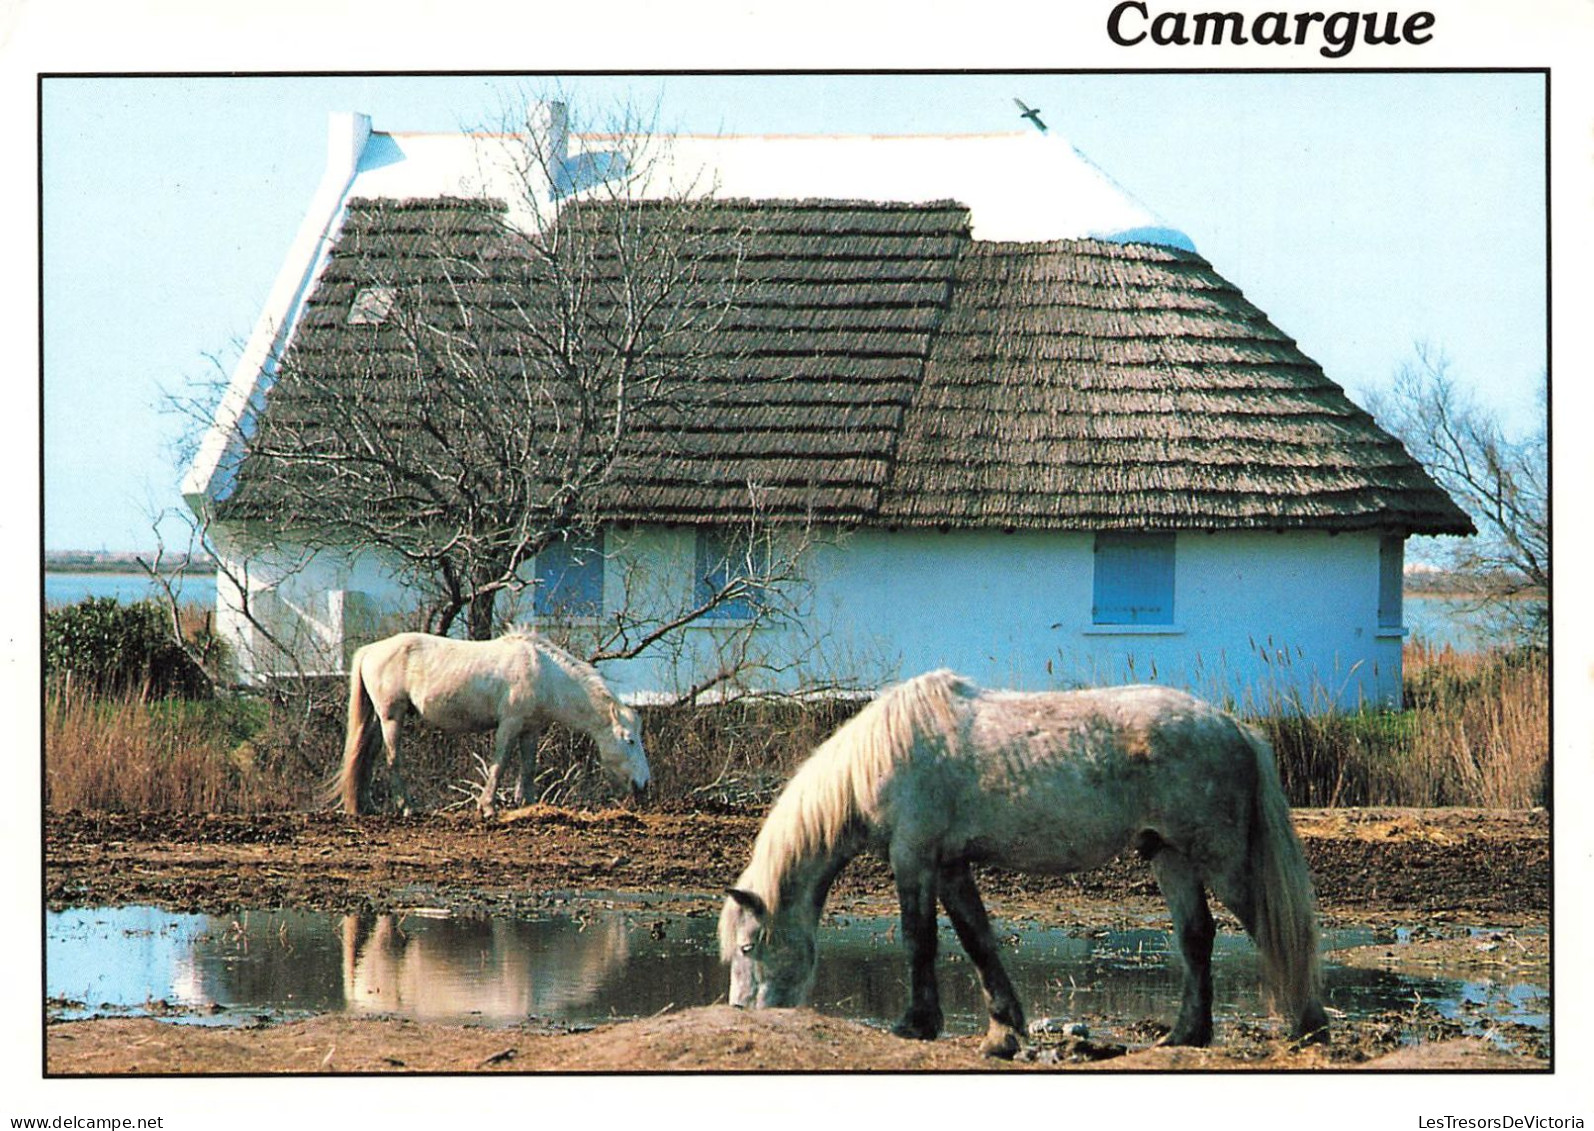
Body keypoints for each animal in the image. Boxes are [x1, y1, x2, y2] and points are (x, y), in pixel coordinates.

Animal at [339, 633, 650, 821]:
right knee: (393, 760)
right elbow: (499, 765)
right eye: (630, 740)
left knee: (367, 755)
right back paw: (406, 807)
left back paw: (366, 806)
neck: (544, 673)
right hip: (392, 717)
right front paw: (488, 806)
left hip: (379, 720)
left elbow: (528, 767)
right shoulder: (509, 724)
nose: (643, 784)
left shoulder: (530, 729)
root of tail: (371, 650)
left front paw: (528, 804)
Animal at [717, 669, 1326, 1057]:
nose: (741, 1012)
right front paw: (1004, 1029)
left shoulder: (913, 856)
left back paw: (1309, 1027)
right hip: (1169, 855)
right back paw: (1184, 1036)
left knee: (1276, 929)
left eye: (748, 947)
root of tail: (1234, 727)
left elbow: (919, 939)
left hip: (1222, 860)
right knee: (1196, 937)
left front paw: (916, 1025)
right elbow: (978, 940)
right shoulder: (950, 865)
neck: (884, 753)